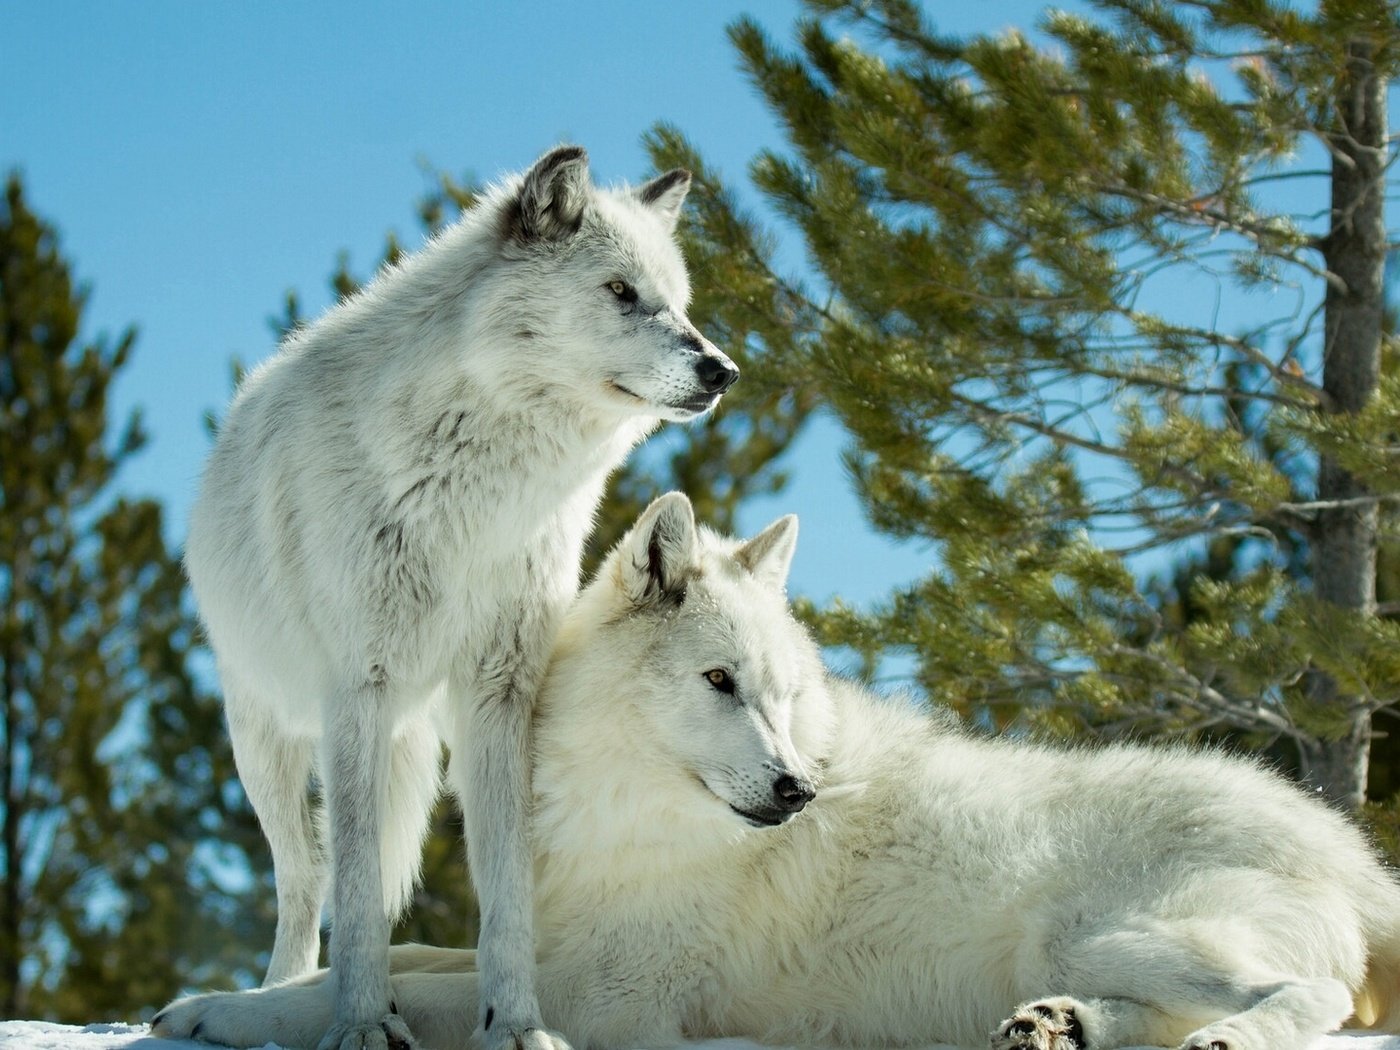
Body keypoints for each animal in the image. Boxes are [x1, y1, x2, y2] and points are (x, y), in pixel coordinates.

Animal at [153, 495, 1400, 1050]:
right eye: (720, 682)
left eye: (784, 695)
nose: (797, 789)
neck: (617, 815)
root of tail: (1348, 849)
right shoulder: (547, 941)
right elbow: (404, 958)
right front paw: (231, 1000)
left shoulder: (610, 1000)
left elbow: (418, 988)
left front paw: (224, 1012)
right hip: (1081, 950)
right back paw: (1056, 1030)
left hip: (1112, 929)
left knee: (1308, 1001)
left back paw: (1219, 1037)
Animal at [180, 148, 739, 1050]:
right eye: (621, 291)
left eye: (679, 302)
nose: (722, 370)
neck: (479, 491)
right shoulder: (358, 691)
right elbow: (357, 893)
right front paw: (362, 1025)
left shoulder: (501, 693)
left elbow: (505, 888)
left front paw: (515, 1024)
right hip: (266, 741)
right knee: (306, 883)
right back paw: (279, 995)